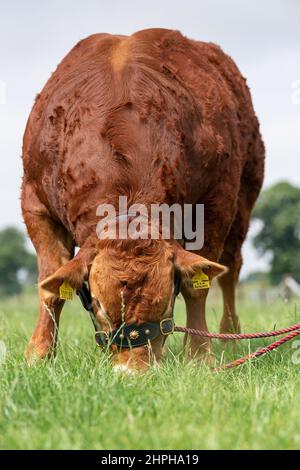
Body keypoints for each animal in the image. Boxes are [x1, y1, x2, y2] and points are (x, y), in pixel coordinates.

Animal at [21, 27, 264, 372]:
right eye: (99, 307)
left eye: (166, 307)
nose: (131, 371)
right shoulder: (36, 203)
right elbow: (50, 286)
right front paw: (39, 354)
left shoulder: (217, 204)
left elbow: (196, 287)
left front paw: (199, 355)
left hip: (244, 201)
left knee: (230, 269)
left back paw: (229, 335)